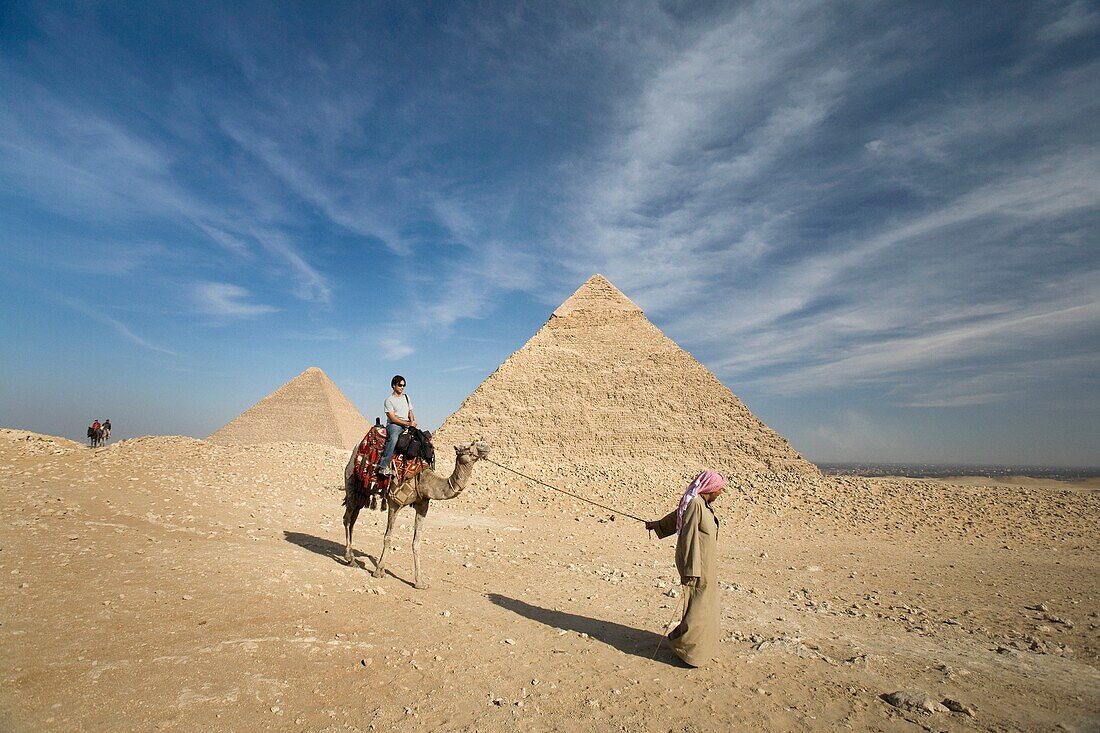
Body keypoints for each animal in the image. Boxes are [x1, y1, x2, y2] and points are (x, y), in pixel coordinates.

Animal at [338, 440, 486, 589]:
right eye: (469, 445)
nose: (485, 446)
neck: (423, 480)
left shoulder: (423, 505)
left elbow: (416, 543)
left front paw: (419, 582)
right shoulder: (394, 502)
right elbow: (388, 537)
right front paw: (379, 571)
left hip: (362, 493)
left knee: (353, 520)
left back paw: (351, 557)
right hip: (352, 484)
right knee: (347, 519)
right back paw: (349, 559)